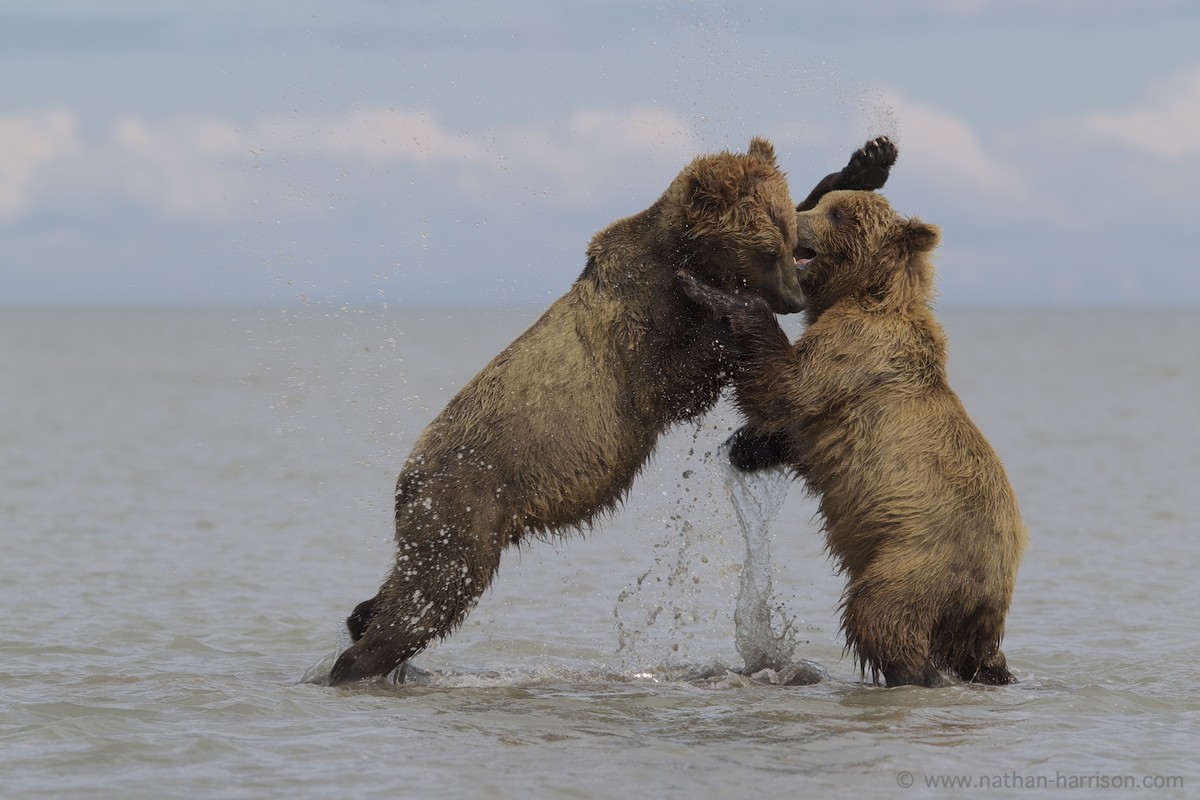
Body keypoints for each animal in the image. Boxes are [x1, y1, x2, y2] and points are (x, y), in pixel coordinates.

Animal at [324, 134, 897, 686]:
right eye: (764, 250)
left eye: (789, 242)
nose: (794, 299)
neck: (679, 255)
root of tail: (408, 476)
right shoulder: (640, 330)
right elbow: (679, 379)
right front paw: (732, 320)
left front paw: (869, 160)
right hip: (463, 505)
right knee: (429, 596)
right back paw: (355, 664)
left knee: (399, 592)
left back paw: (362, 624)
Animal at [681, 190, 1027, 690]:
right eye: (823, 203)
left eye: (836, 212)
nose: (794, 217)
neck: (866, 292)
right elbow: (793, 428)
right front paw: (745, 447)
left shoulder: (855, 346)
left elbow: (786, 387)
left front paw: (718, 294)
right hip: (974, 604)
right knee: (976, 652)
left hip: (915, 556)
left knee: (880, 614)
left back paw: (916, 674)